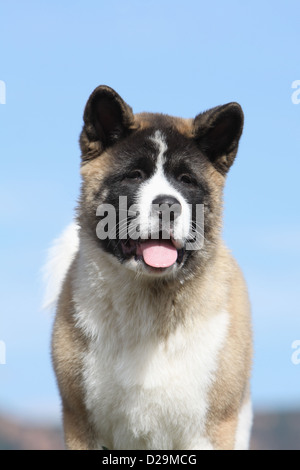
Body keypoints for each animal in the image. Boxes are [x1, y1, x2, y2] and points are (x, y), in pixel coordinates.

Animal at [47, 86, 253, 450]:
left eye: (186, 180)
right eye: (135, 175)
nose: (168, 205)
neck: (149, 303)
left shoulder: (211, 430)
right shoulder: (81, 427)